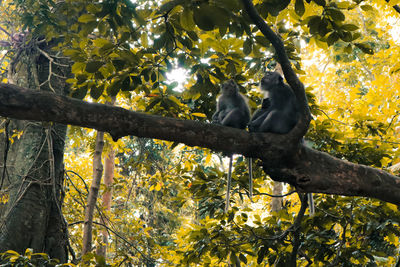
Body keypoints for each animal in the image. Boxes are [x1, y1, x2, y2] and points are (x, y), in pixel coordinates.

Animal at [212, 78, 250, 213]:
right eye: (227, 85)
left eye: (232, 84)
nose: (233, 86)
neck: (229, 96)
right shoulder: (221, 99)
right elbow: (218, 110)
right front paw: (214, 117)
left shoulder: (239, 98)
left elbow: (245, 114)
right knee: (224, 111)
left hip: (239, 123)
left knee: (237, 112)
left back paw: (223, 124)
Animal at [248, 72, 314, 217]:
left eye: (269, 74)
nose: (264, 76)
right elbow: (266, 107)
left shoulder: (278, 93)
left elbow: (275, 108)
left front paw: (254, 124)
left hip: (282, 125)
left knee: (274, 113)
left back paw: (258, 129)